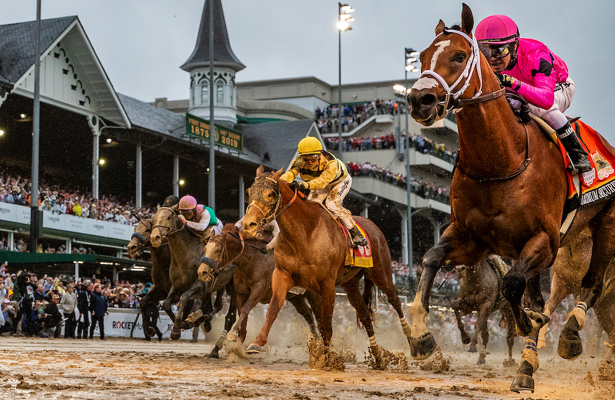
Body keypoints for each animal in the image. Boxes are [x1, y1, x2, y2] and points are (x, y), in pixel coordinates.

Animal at [410, 2, 615, 390]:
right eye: (423, 57)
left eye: (459, 56)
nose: (420, 100)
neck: (501, 160)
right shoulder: (472, 238)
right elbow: (430, 258)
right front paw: (420, 336)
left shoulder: (545, 240)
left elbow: (512, 283)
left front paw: (530, 323)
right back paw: (526, 365)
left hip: (605, 224)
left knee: (592, 286)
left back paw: (568, 336)